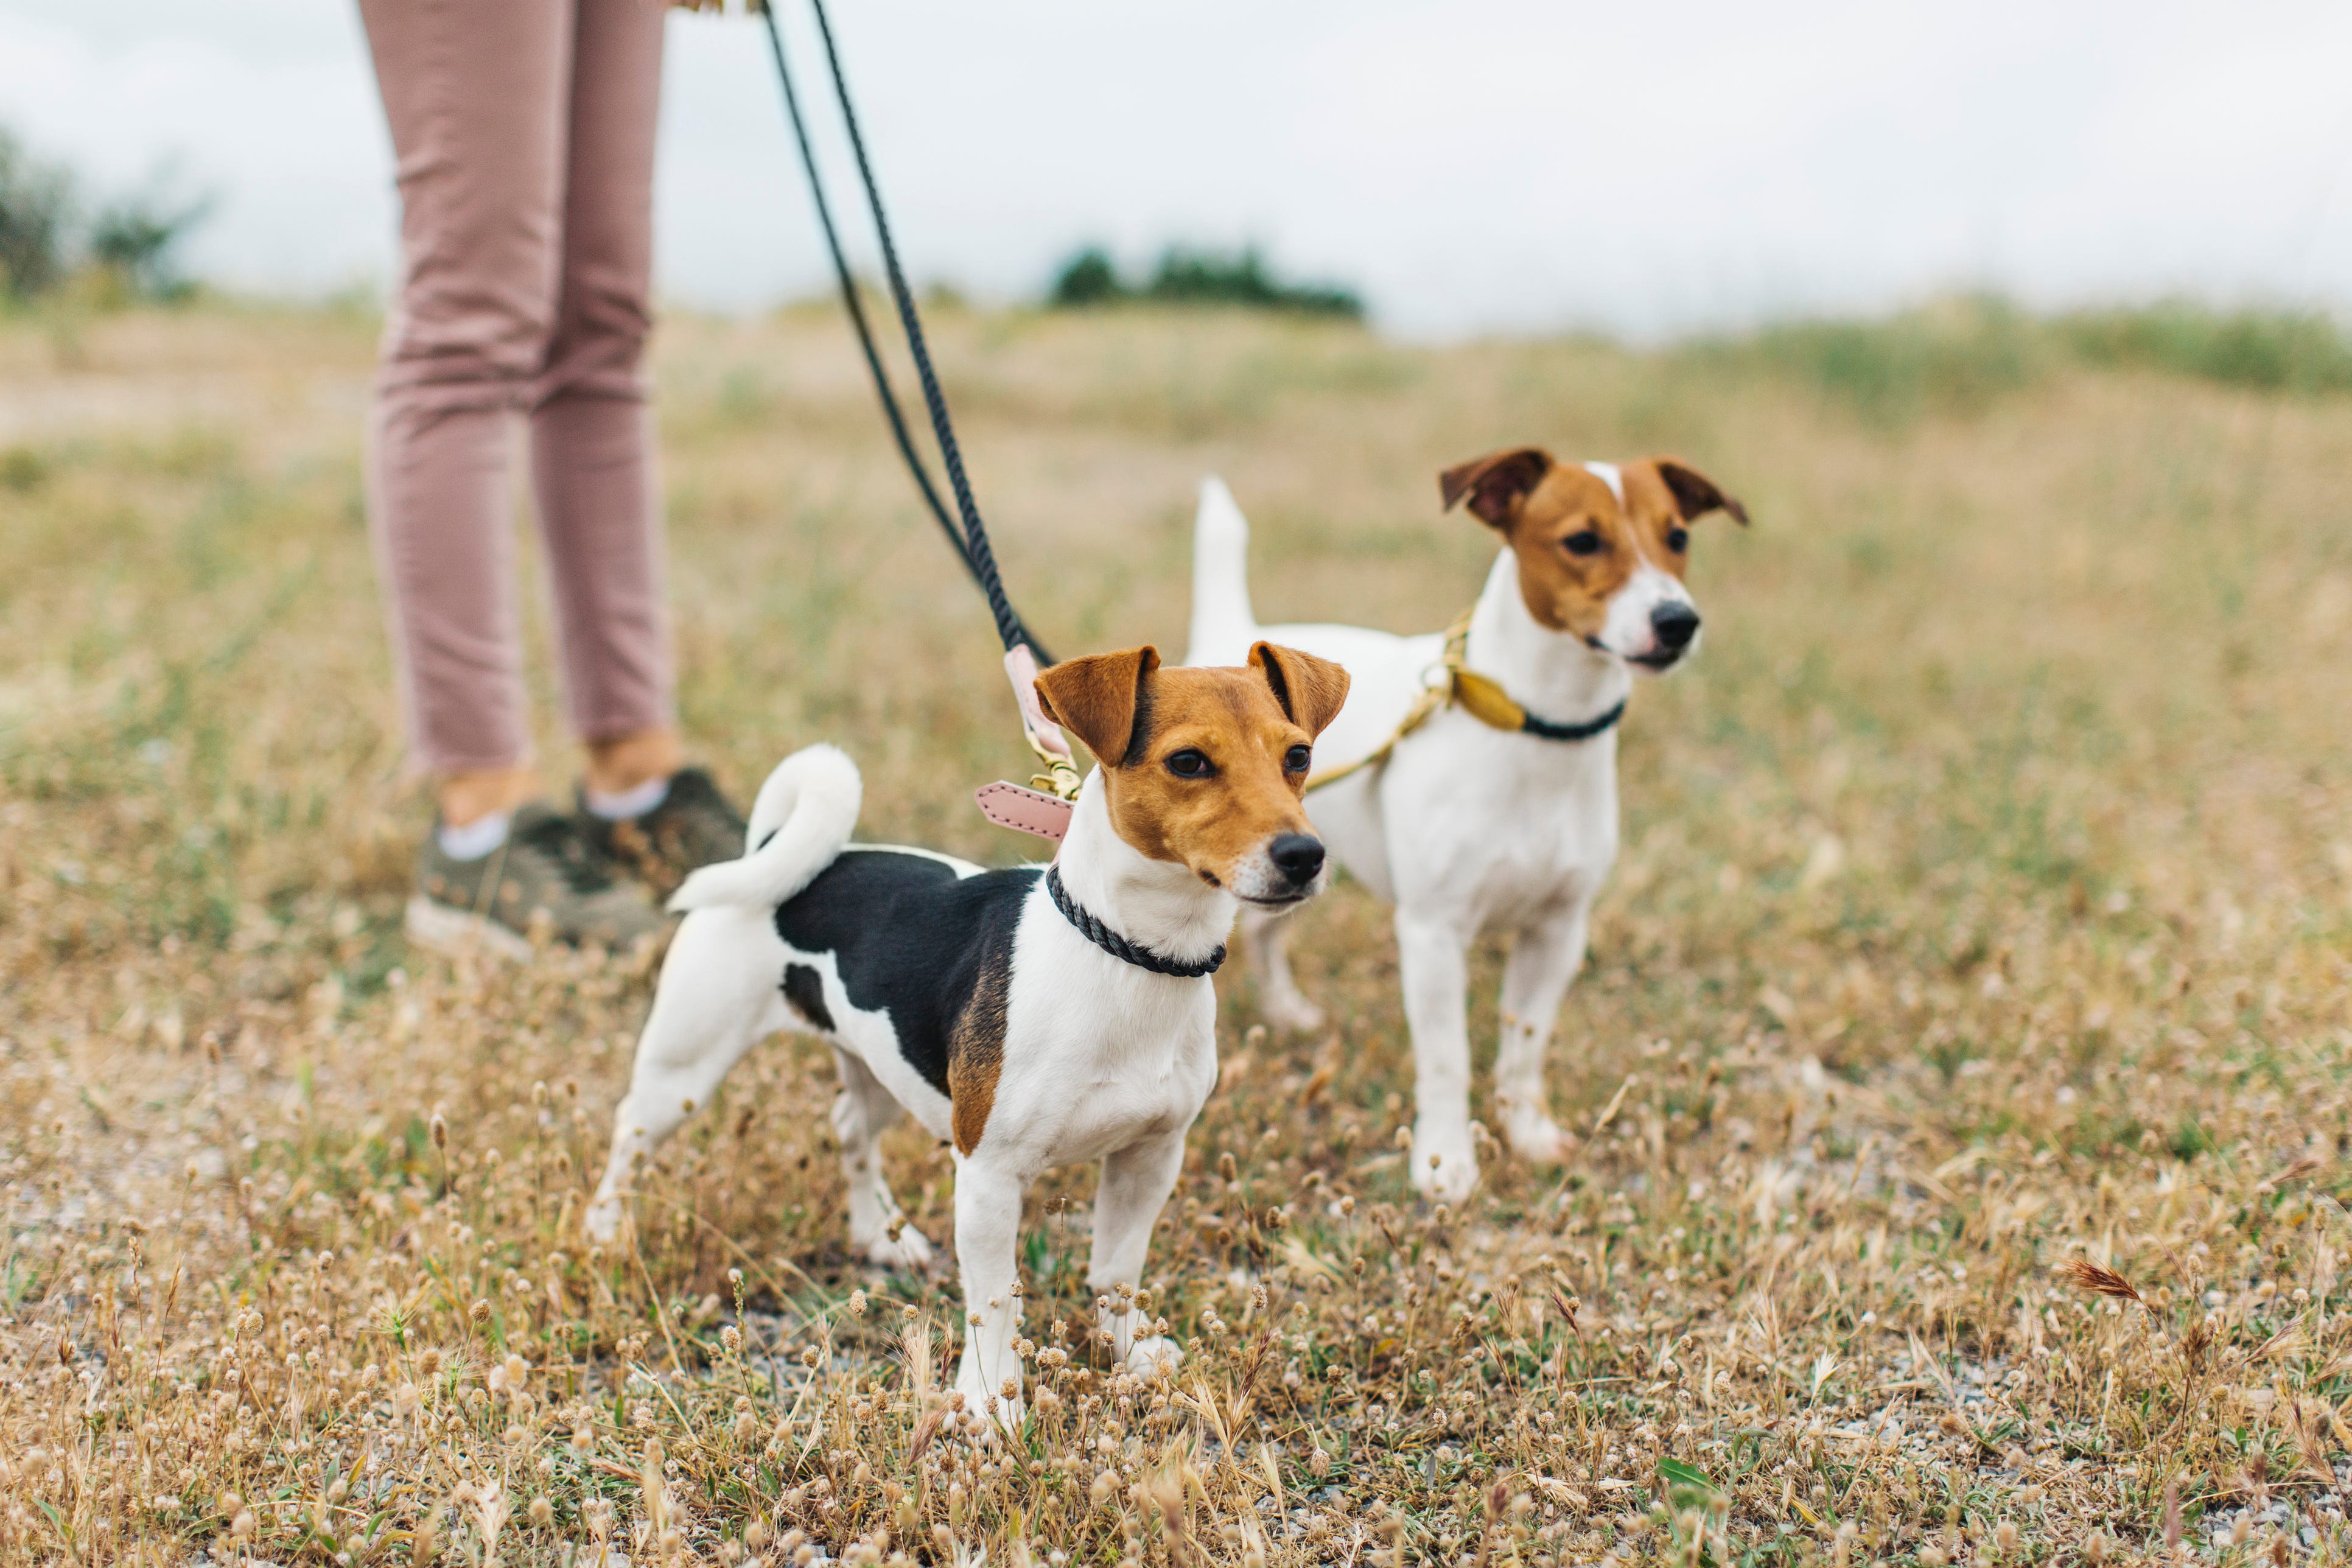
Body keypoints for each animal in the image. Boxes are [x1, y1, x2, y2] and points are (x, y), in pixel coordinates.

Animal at [588, 644, 1354, 1429]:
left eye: (1299, 754)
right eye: (1189, 761)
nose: (1303, 854)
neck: (1129, 955)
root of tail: (777, 848)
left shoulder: (1150, 1155)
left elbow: (1117, 1271)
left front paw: (1131, 1353)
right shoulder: (989, 1173)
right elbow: (994, 1298)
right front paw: (990, 1404)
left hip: (883, 1062)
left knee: (851, 1128)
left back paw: (879, 1234)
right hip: (682, 1072)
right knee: (628, 1136)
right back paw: (606, 1230)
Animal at [1185, 446, 1740, 1213]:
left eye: (1678, 536)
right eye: (1583, 540)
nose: (1677, 619)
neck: (1539, 732)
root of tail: (1231, 645)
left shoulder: (1557, 930)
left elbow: (1525, 1045)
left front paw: (1527, 1131)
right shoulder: (1434, 933)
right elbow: (1448, 1058)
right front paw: (1446, 1162)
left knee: (1270, 935)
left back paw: (1289, 1011)